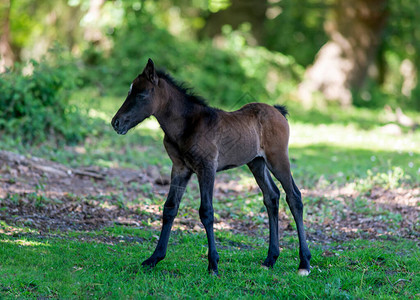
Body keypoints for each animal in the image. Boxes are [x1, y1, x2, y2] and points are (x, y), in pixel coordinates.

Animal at [111, 59, 312, 276]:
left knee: (294, 197)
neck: (187, 125)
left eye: (141, 95)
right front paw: (154, 258)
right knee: (272, 197)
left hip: (278, 159)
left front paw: (213, 264)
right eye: (130, 92)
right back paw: (270, 259)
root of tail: (278, 111)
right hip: (256, 163)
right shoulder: (180, 168)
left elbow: (206, 211)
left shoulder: (206, 168)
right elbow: (170, 208)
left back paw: (304, 263)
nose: (116, 122)